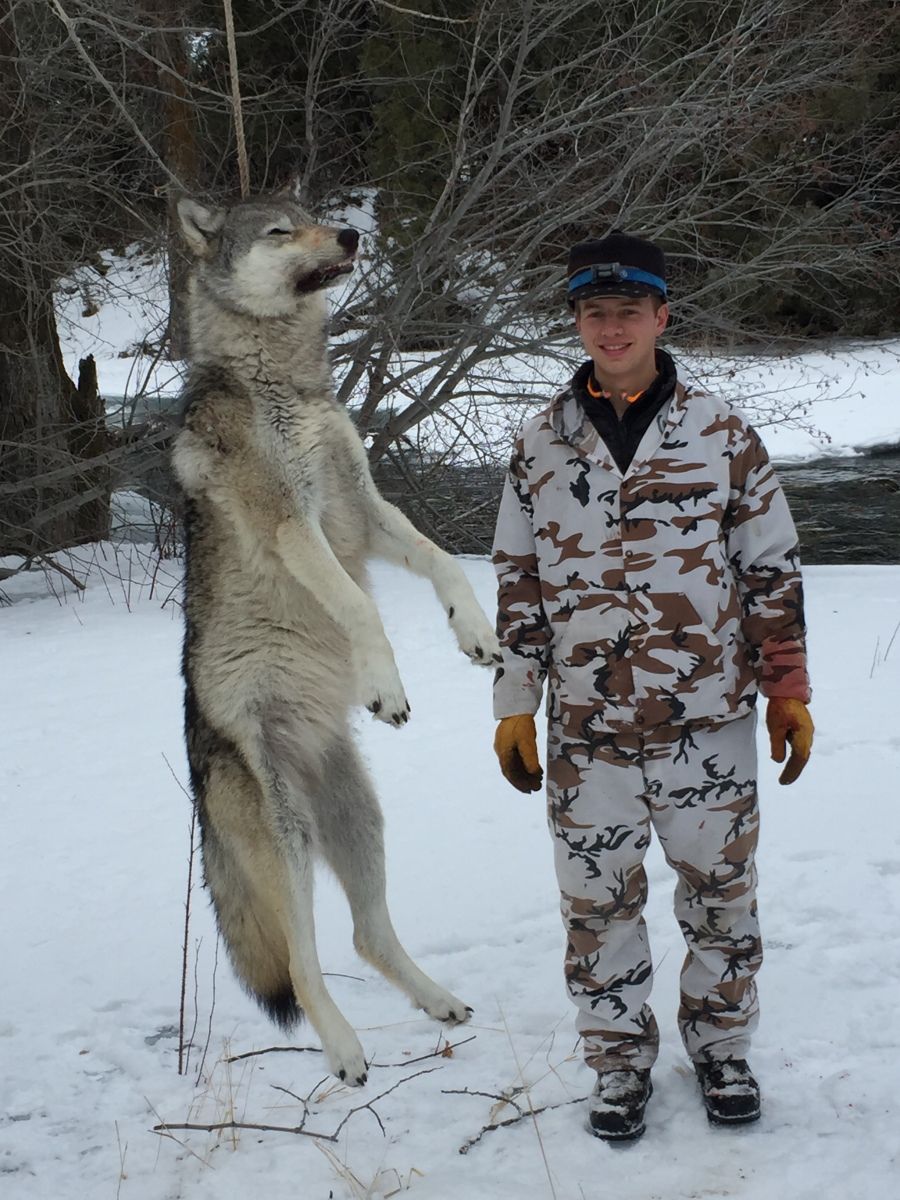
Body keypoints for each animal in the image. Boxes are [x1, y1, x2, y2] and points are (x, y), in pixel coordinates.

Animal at [171, 194, 500, 1086]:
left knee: (366, 934)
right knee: (302, 961)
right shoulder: (296, 524)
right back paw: (345, 1049)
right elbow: (360, 610)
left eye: (311, 212)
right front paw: (385, 683)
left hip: (360, 821)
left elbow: (444, 561)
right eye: (279, 231)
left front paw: (476, 634)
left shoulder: (364, 505)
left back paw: (438, 1001)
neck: (287, 382)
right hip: (288, 843)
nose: (353, 232)